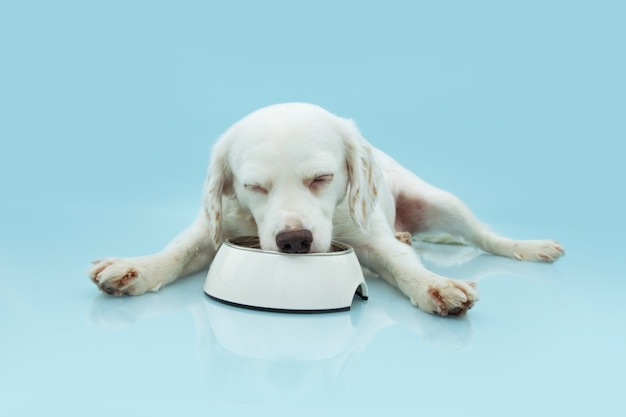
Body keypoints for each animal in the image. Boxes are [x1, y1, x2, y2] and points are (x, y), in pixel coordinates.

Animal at [90, 103, 564, 316]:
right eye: (254, 187)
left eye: (321, 178)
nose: (294, 241)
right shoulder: (216, 226)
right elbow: (176, 251)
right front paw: (135, 268)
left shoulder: (369, 240)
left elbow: (402, 264)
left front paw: (434, 285)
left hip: (441, 202)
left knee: (485, 236)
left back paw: (526, 245)